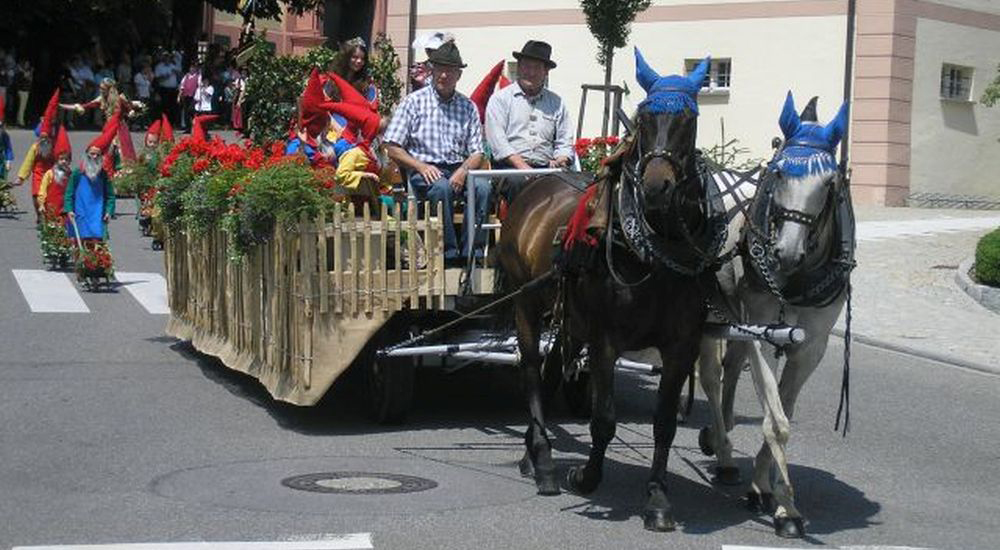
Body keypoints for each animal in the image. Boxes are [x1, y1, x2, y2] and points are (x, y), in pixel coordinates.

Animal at [496, 51, 724, 536]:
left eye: (689, 119)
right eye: (644, 117)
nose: (656, 188)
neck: (654, 252)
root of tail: (533, 187)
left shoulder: (681, 345)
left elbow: (663, 425)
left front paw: (657, 499)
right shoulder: (605, 339)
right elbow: (603, 420)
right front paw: (586, 477)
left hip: (568, 317)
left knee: (550, 370)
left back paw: (530, 453)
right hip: (527, 303)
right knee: (531, 373)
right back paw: (544, 461)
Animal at [696, 92, 852, 540]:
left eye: (830, 184)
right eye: (779, 172)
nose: (785, 253)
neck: (797, 277)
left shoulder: (811, 346)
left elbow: (782, 413)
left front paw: (770, 493)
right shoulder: (763, 332)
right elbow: (776, 420)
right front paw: (784, 504)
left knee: (731, 368)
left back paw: (723, 443)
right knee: (711, 377)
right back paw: (722, 445)